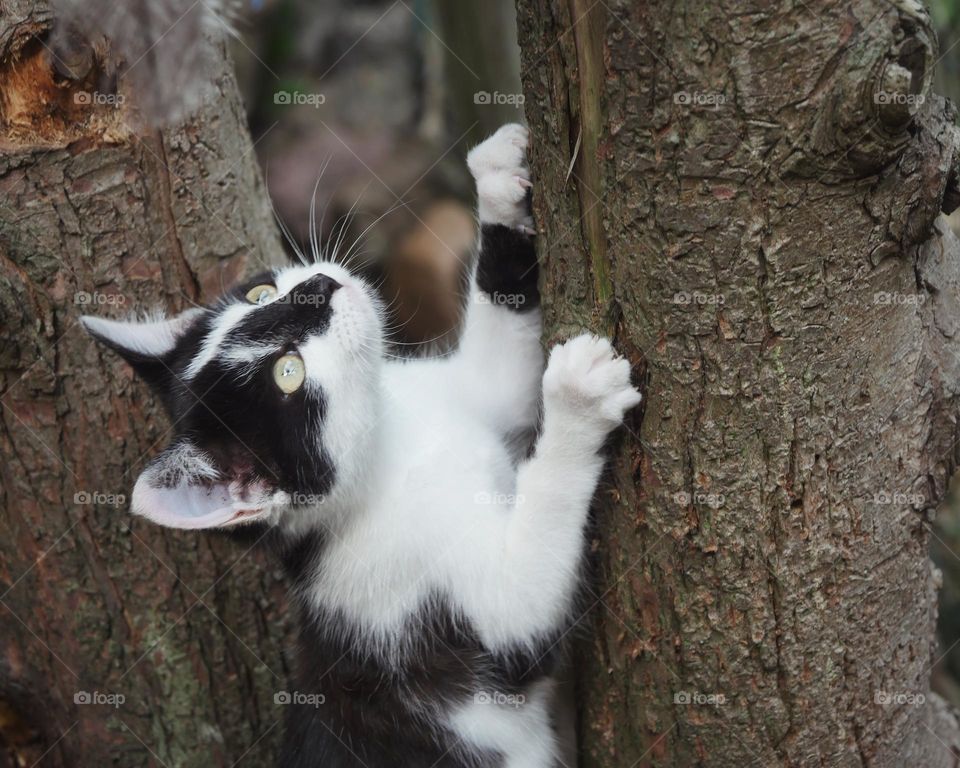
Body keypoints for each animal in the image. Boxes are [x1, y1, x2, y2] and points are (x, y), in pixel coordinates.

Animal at [80, 123, 636, 764]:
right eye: (288, 373)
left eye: (259, 293)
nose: (317, 287)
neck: (391, 444)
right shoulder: (427, 609)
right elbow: (526, 599)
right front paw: (577, 399)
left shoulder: (469, 395)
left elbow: (502, 366)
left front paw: (496, 181)